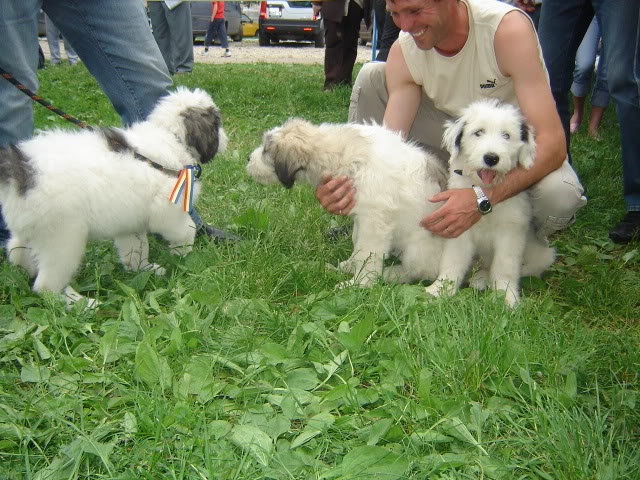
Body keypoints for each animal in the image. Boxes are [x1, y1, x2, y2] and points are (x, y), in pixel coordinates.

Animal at [0, 87, 228, 306]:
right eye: (217, 123)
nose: (226, 138)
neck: (170, 137)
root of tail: (21, 169)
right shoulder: (167, 210)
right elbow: (186, 230)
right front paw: (182, 256)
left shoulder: (130, 222)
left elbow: (136, 249)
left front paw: (144, 270)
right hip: (62, 240)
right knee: (46, 286)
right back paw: (80, 303)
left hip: (31, 227)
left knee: (16, 249)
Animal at [248, 118, 448, 286]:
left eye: (266, 150)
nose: (247, 158)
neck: (344, 154)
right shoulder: (360, 215)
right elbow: (357, 242)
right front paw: (350, 266)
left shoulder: (374, 222)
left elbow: (367, 253)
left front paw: (360, 283)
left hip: (417, 251)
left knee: (420, 271)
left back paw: (389, 275)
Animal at [428, 99, 556, 306]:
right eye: (478, 132)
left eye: (506, 135)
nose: (491, 158)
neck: (482, 193)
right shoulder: (458, 228)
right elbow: (453, 260)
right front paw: (440, 290)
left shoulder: (511, 232)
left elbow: (505, 267)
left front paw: (507, 297)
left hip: (541, 254)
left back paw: (484, 280)